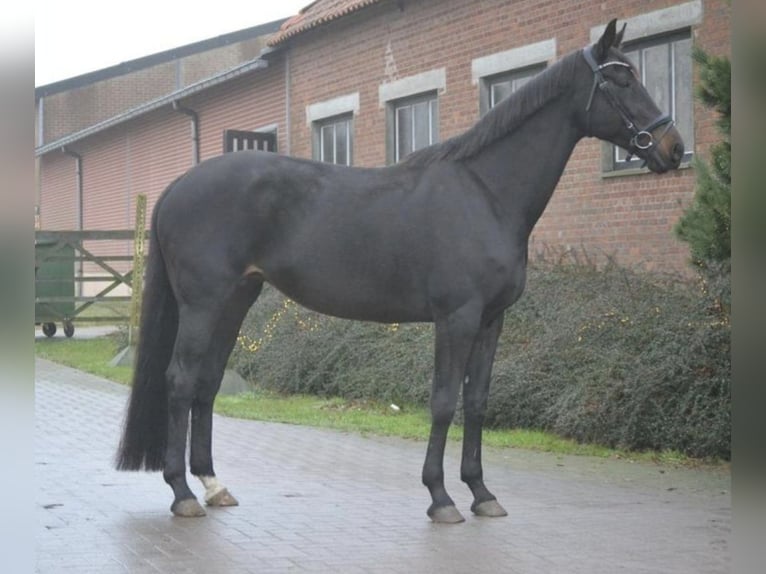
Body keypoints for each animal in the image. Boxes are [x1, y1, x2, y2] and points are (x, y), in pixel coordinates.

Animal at [117, 21, 688, 528]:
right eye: (622, 79)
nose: (674, 148)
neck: (486, 193)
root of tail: (177, 186)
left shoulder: (492, 320)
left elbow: (476, 401)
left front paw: (482, 493)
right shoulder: (456, 318)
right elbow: (442, 402)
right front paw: (441, 498)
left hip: (236, 299)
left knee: (207, 382)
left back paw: (213, 486)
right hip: (203, 303)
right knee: (180, 379)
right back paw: (182, 493)